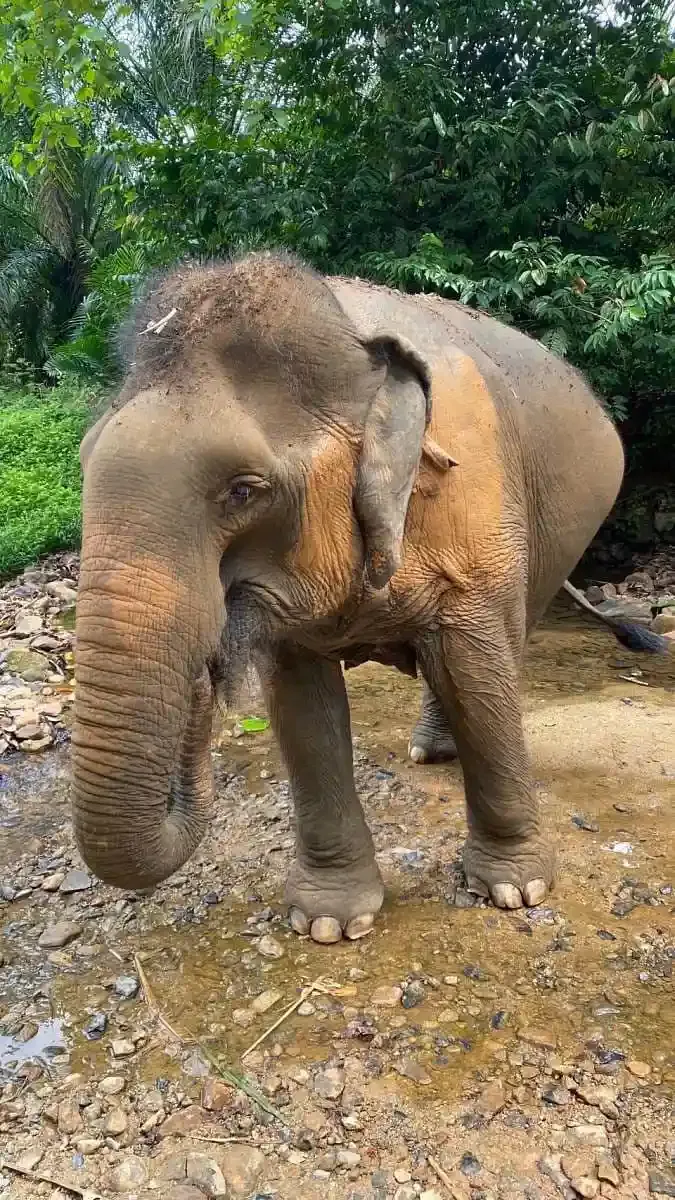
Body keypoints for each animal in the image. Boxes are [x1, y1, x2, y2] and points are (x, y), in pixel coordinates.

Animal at [71, 251, 667, 945]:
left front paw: (516, 891)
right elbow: (302, 707)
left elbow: (474, 666)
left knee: (502, 647)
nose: (204, 678)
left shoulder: (474, 494)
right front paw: (328, 923)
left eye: (243, 491)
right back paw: (431, 751)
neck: (347, 332)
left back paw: (440, 752)